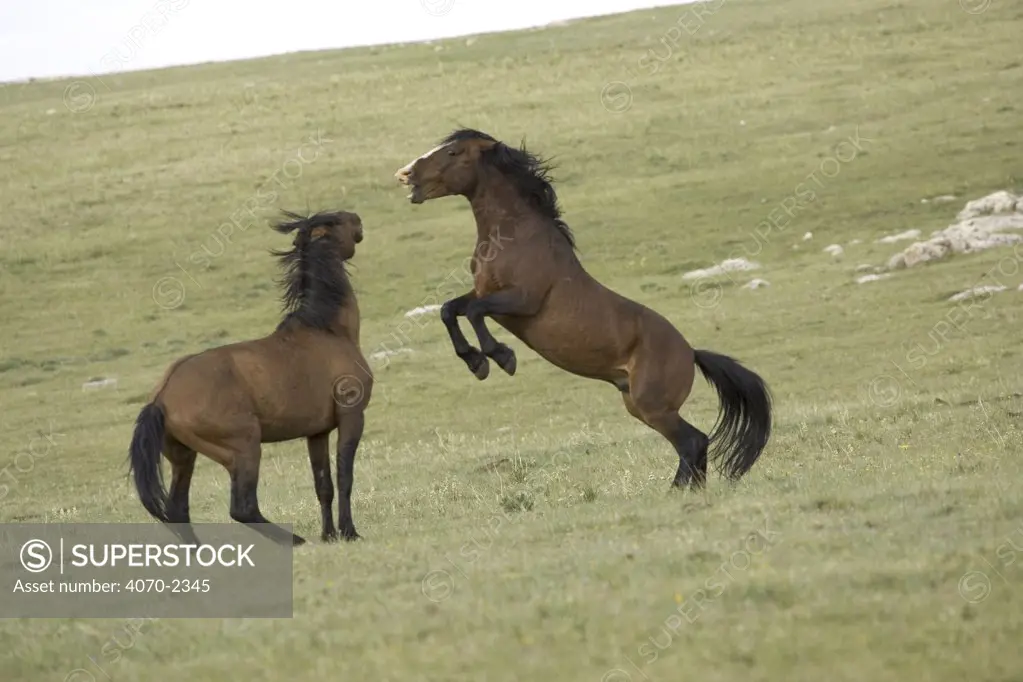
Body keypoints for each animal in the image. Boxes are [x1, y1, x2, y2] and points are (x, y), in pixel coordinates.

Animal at [127, 210, 374, 548]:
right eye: (335, 220)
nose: (357, 218)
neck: (328, 330)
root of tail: (162, 397)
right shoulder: (351, 416)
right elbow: (344, 476)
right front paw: (349, 533)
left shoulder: (317, 432)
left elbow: (323, 485)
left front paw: (329, 535)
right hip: (245, 448)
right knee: (242, 507)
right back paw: (295, 540)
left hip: (183, 458)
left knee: (178, 509)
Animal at [394, 129, 769, 490]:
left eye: (453, 152)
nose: (407, 175)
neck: (513, 235)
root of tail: (690, 352)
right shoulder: (483, 294)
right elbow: (450, 310)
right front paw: (475, 362)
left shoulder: (520, 301)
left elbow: (474, 313)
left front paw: (499, 358)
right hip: (638, 406)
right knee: (693, 443)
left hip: (653, 406)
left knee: (693, 441)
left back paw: (677, 492)